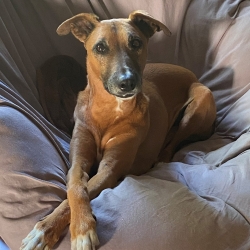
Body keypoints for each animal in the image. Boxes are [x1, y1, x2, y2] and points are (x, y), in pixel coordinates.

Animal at [21, 10, 217, 250]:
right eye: (100, 48)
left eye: (136, 43)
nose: (127, 82)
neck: (108, 110)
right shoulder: (78, 159)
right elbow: (75, 188)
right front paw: (48, 229)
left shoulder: (110, 170)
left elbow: (75, 196)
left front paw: (79, 231)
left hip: (200, 100)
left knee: (173, 143)